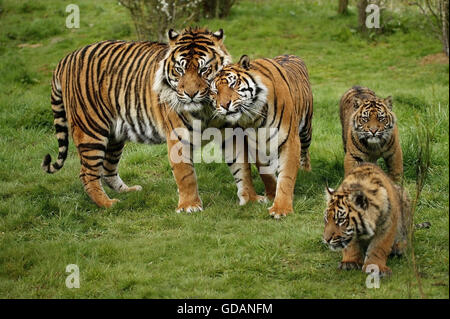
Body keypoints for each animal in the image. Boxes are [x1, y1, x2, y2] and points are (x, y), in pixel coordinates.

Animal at [40, 27, 232, 211]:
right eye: (179, 70)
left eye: (204, 69)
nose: (190, 94)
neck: (205, 107)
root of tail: (66, 58)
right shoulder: (178, 137)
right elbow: (186, 175)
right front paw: (189, 206)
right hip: (91, 131)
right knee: (87, 173)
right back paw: (108, 204)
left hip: (114, 136)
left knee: (108, 169)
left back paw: (129, 191)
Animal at [210, 55, 312, 220]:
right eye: (214, 91)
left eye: (233, 84)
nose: (224, 105)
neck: (255, 116)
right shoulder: (255, 143)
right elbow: (266, 172)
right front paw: (271, 194)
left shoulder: (289, 141)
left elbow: (286, 177)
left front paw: (281, 209)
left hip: (306, 130)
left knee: (305, 150)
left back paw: (306, 170)